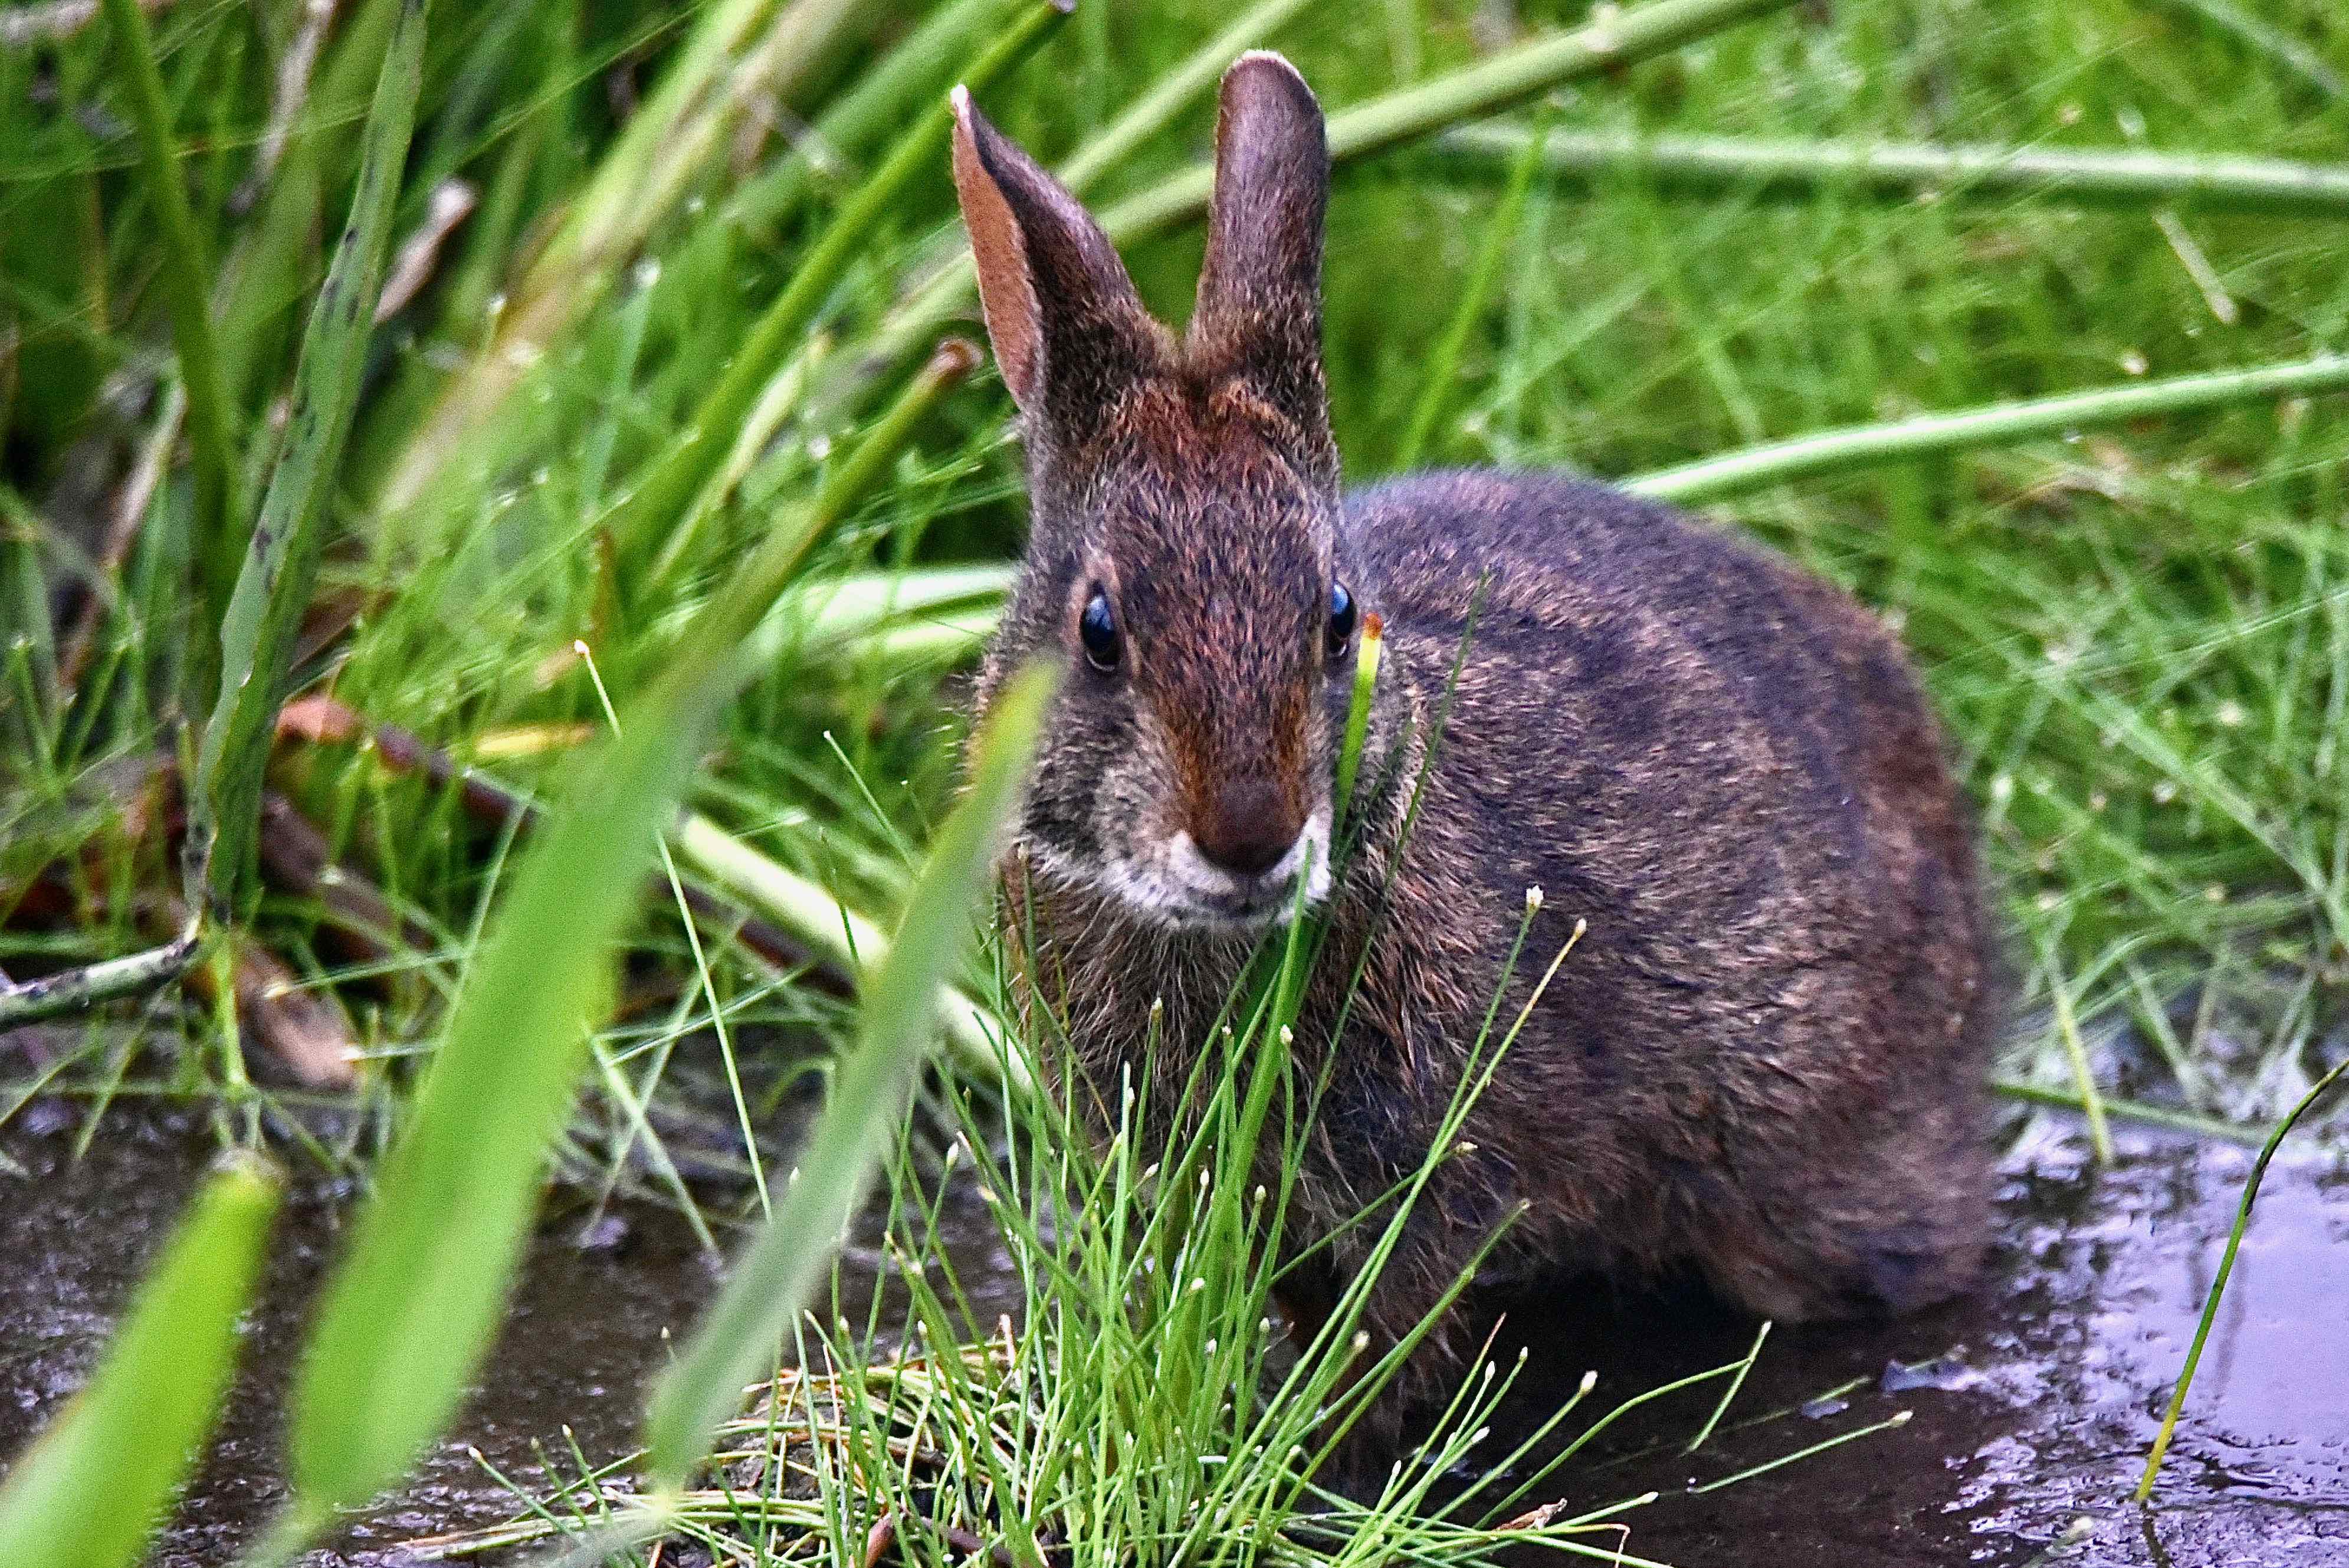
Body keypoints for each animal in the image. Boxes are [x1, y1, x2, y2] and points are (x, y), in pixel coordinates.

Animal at [948, 53, 1999, 1493]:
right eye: (1098, 630)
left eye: (1337, 615)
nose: (1249, 835)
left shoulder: (1443, 1174)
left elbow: (1398, 1322)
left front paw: (1312, 1454)